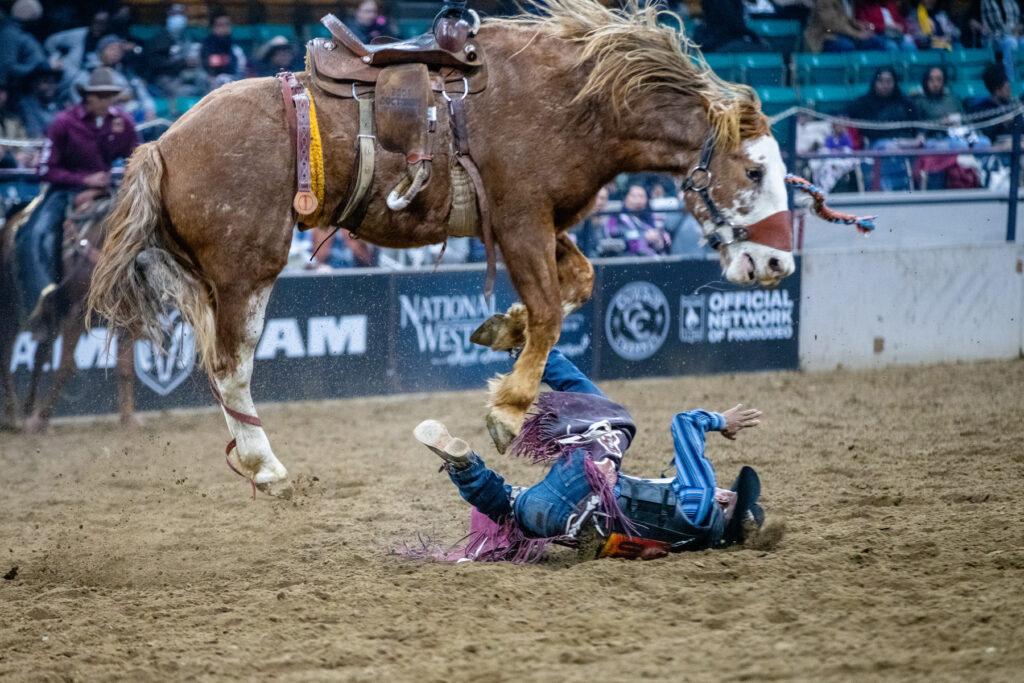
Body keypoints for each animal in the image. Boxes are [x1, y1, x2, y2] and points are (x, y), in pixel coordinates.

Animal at [1, 192, 137, 430]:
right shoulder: (76, 316)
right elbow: (66, 367)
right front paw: (42, 418)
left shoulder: (125, 320)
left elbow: (125, 368)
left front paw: (128, 420)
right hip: (11, 308)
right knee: (7, 353)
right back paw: (12, 416)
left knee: (40, 354)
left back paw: (27, 409)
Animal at [88, 2, 811, 499]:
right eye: (754, 172)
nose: (778, 264)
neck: (575, 101)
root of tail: (161, 143)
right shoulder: (520, 220)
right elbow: (550, 308)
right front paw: (506, 409)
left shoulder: (542, 224)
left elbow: (575, 286)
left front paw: (499, 331)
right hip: (247, 269)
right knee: (230, 366)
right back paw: (266, 467)